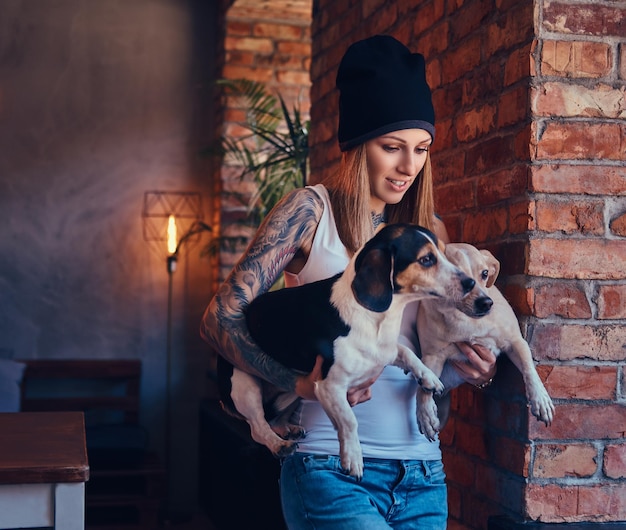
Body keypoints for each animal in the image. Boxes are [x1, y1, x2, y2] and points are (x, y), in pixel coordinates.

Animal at [217, 221, 476, 476]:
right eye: (426, 259)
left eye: (443, 253)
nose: (471, 283)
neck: (374, 317)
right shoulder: (329, 386)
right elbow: (350, 421)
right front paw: (352, 457)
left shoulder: (385, 351)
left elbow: (407, 352)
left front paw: (428, 377)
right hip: (243, 383)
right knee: (257, 426)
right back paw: (278, 444)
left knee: (273, 419)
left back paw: (287, 429)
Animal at [414, 241, 556, 440]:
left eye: (485, 273)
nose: (486, 303)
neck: (465, 320)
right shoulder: (432, 357)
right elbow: (424, 389)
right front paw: (425, 415)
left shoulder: (516, 341)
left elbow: (529, 370)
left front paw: (541, 399)